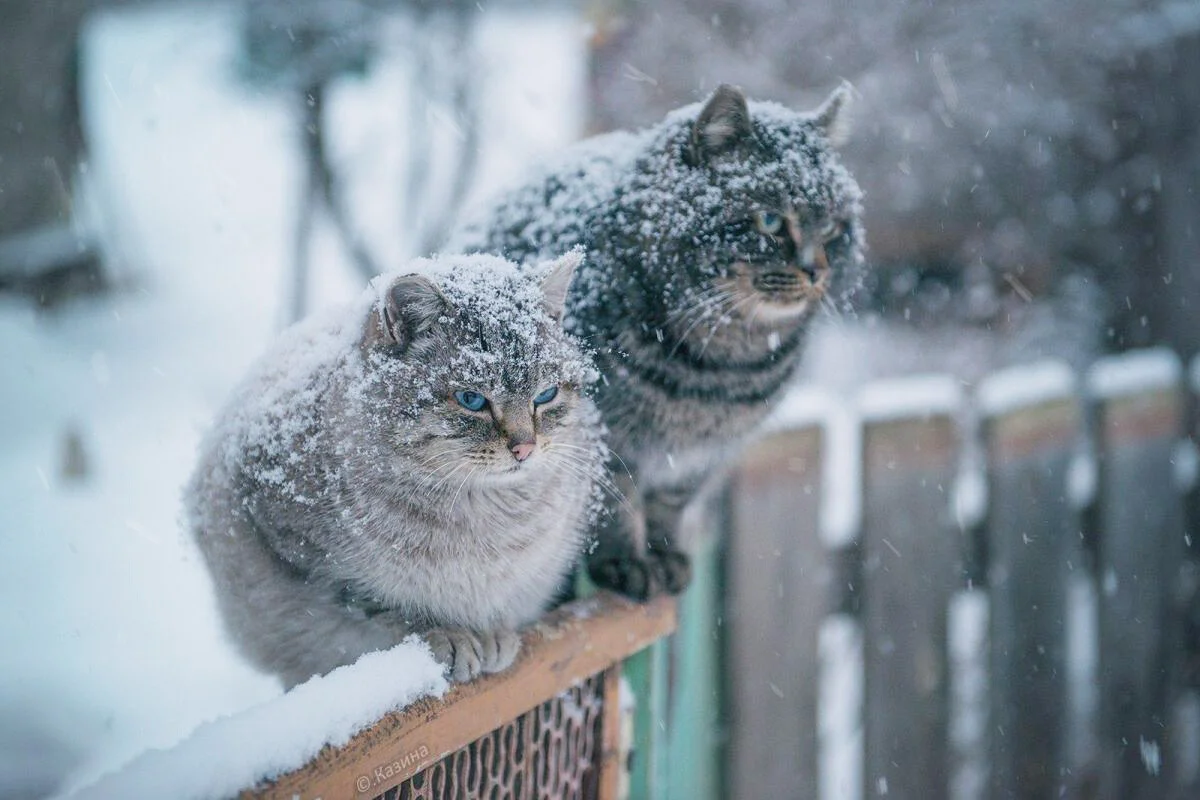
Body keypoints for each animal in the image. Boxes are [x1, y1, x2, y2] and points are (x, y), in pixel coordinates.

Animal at [187, 251, 604, 690]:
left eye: (546, 395)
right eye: (471, 399)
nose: (525, 448)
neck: (478, 513)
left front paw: (489, 632)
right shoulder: (311, 559)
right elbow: (389, 607)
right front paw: (450, 634)